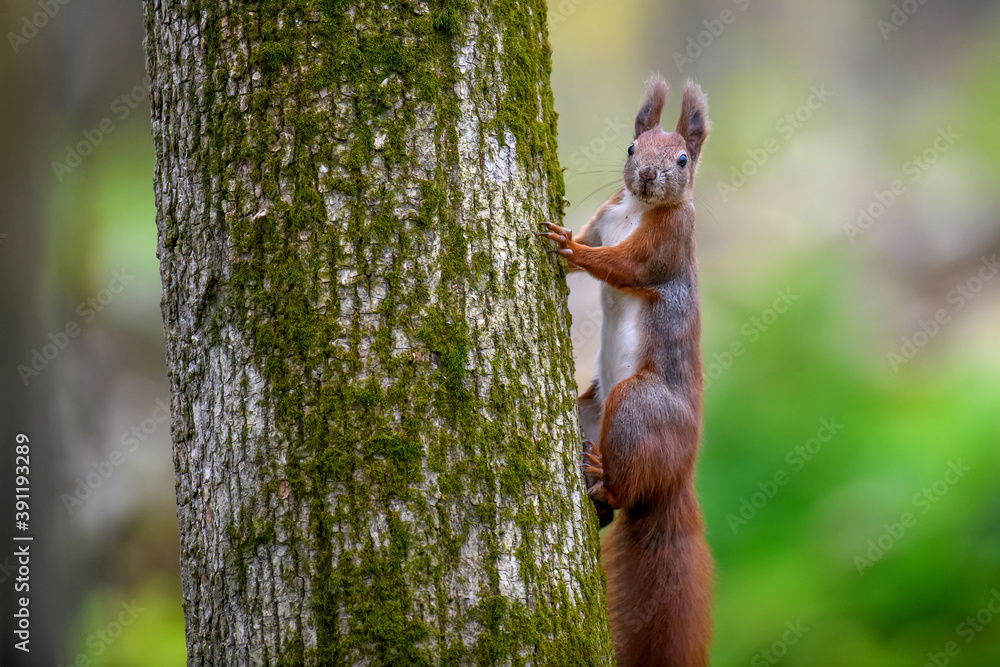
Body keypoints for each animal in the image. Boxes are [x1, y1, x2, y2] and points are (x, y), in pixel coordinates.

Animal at [544, 75, 716, 667]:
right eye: (630, 147)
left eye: (683, 159)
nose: (645, 176)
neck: (638, 209)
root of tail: (678, 475)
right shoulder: (607, 217)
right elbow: (594, 241)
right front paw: (569, 241)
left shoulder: (664, 246)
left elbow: (623, 265)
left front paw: (567, 248)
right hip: (589, 408)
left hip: (637, 406)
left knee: (626, 491)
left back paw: (606, 479)